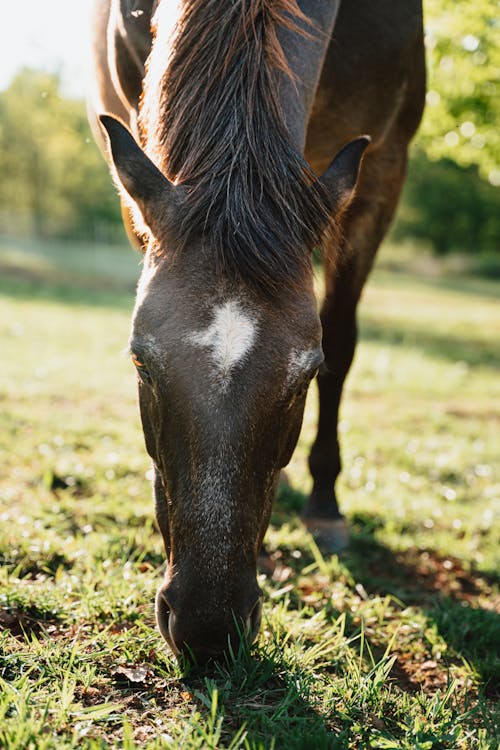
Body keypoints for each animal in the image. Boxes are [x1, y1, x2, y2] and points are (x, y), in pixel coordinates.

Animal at [88, 0, 424, 664]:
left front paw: (325, 503)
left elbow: (343, 339)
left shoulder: (383, 171)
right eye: (140, 362)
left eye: (305, 375)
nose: (208, 627)